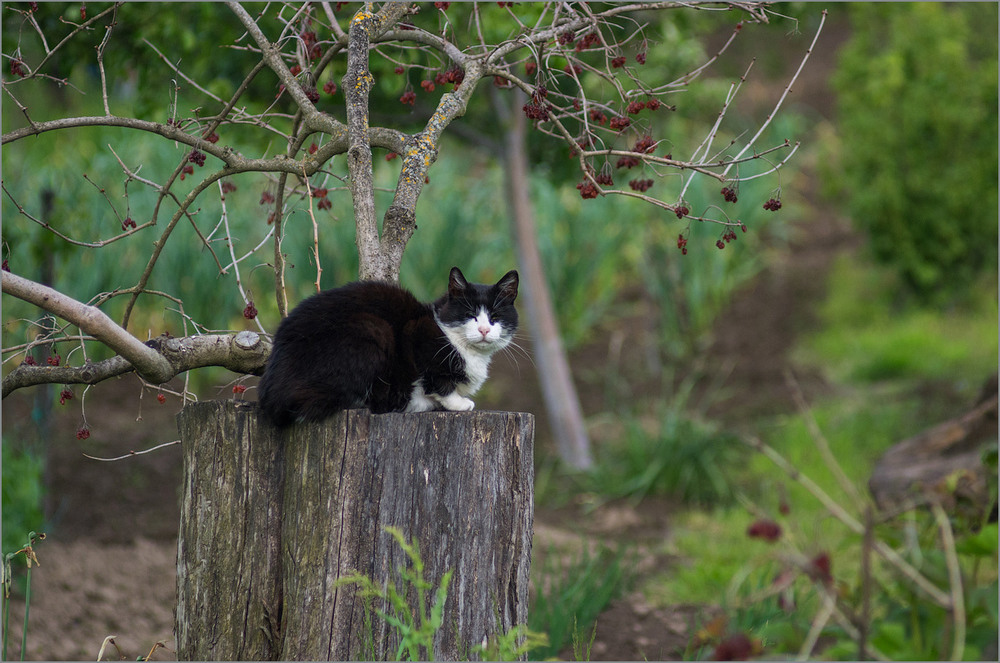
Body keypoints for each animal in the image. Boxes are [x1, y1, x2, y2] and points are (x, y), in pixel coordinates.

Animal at [258, 268, 520, 428]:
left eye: (495, 317)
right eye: (470, 315)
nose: (484, 330)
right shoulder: (418, 333)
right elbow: (438, 382)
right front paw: (459, 403)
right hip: (373, 329)